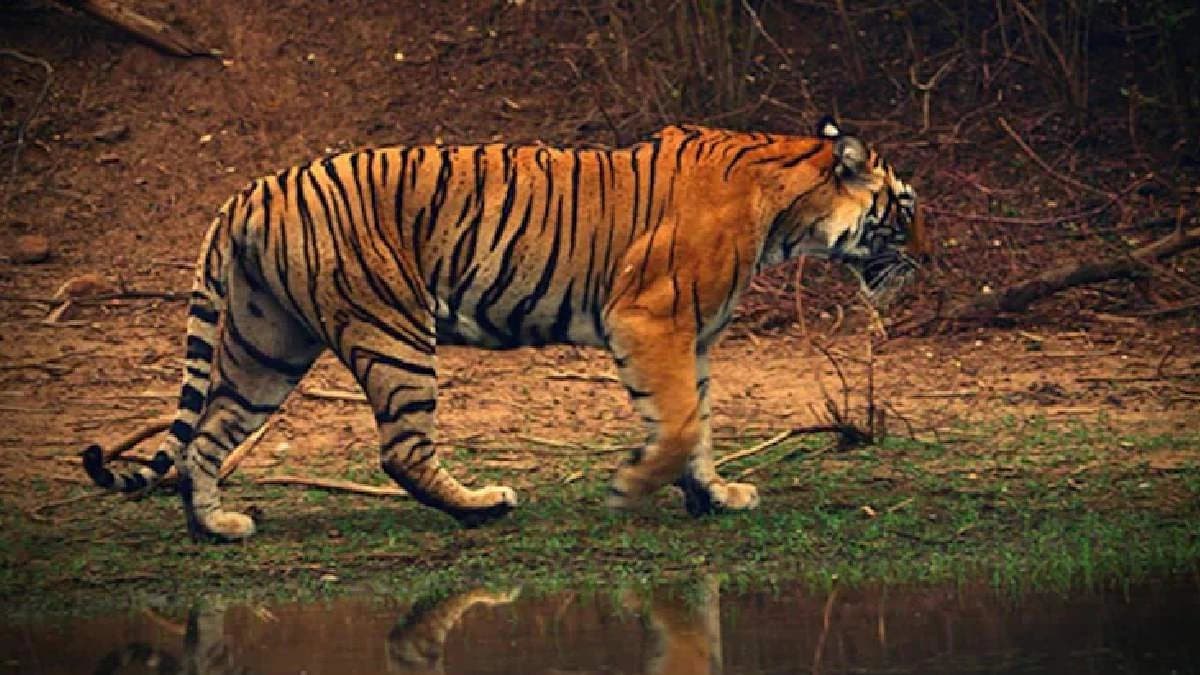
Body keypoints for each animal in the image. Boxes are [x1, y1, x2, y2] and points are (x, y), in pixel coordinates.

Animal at [82, 117, 925, 541]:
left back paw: (217, 524)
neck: (789, 210)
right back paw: (481, 504)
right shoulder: (649, 317)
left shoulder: (693, 337)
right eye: (904, 208)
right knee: (400, 450)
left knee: (206, 436)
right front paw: (631, 487)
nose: (926, 257)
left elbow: (699, 423)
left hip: (269, 341)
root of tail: (252, 190)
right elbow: (682, 422)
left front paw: (714, 494)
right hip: (392, 329)